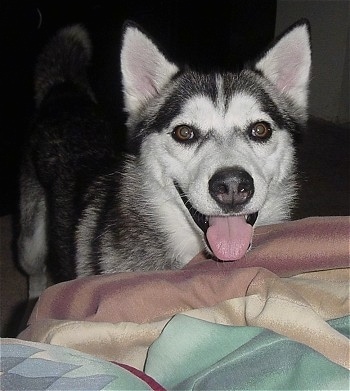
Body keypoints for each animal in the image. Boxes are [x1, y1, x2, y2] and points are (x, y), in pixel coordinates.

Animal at [17, 19, 312, 298]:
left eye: (260, 130)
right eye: (184, 132)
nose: (232, 186)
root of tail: (64, 94)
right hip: (31, 243)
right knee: (34, 271)